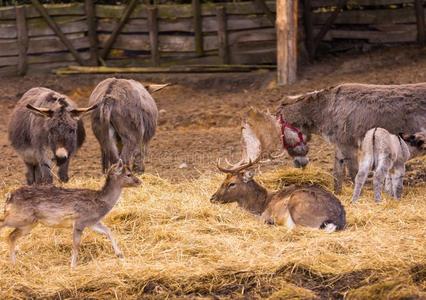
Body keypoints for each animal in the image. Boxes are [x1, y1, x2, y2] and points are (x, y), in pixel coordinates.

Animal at [0, 159, 141, 268]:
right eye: (129, 174)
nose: (140, 181)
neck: (100, 204)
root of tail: (9, 196)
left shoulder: (91, 222)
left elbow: (108, 231)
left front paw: (120, 254)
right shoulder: (80, 221)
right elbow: (76, 244)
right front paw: (73, 266)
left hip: (29, 223)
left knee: (11, 236)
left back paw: (14, 264)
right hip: (21, 217)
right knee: (4, 224)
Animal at [210, 157, 346, 232]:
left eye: (231, 184)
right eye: (223, 180)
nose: (212, 198)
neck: (261, 204)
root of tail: (336, 220)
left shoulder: (264, 214)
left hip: (299, 203)